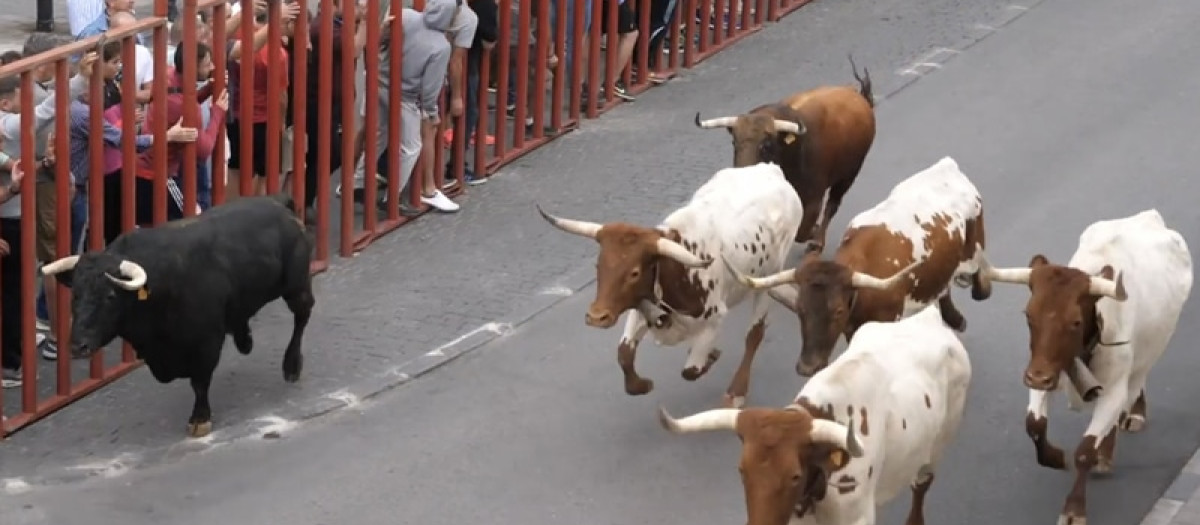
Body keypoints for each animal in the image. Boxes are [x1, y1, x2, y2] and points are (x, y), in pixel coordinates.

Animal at [40, 194, 316, 438]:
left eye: (110, 296)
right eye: (75, 294)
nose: (78, 345)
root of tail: (279, 202)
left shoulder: (207, 342)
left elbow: (200, 381)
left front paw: (200, 419)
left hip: (296, 286)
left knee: (302, 316)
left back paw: (291, 365)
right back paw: (244, 338)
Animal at [691, 54, 878, 251]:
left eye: (766, 145)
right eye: (734, 142)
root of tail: (855, 93)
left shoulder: (814, 199)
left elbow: (802, 231)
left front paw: (813, 232)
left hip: (849, 175)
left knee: (832, 205)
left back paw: (818, 240)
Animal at [724, 158, 988, 376]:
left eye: (838, 311)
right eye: (800, 310)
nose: (807, 367)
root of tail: (947, 166)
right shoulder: (854, 329)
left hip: (974, 248)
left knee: (978, 274)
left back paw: (978, 291)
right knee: (944, 287)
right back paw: (954, 317)